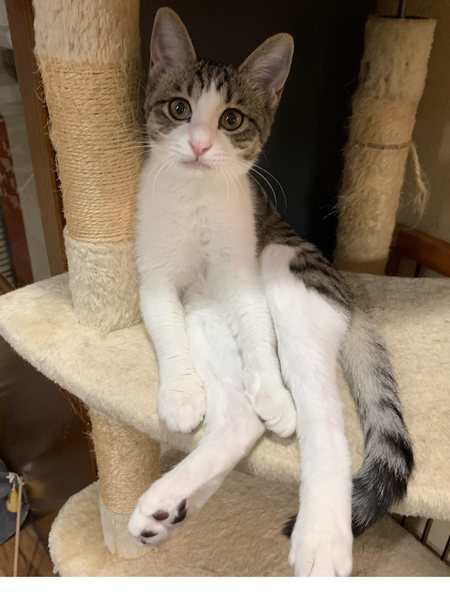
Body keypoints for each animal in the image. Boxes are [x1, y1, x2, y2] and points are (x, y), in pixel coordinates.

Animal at [128, 7, 414, 576]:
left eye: (231, 120)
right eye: (179, 108)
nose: (199, 144)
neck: (197, 199)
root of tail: (350, 292)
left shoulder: (244, 271)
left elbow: (258, 330)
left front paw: (275, 396)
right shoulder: (156, 273)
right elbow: (165, 327)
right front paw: (181, 392)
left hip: (288, 270)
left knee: (323, 419)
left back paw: (322, 538)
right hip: (204, 316)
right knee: (239, 419)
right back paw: (166, 506)